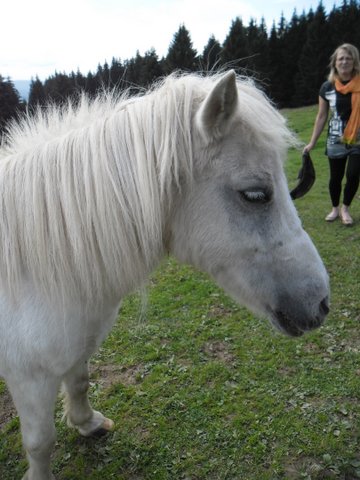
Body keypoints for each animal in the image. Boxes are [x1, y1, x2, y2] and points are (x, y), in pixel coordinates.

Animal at [0, 72, 330, 480]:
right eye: (255, 194)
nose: (321, 303)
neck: (40, 266)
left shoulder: (77, 347)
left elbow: (79, 383)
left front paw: (87, 423)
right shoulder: (27, 376)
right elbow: (40, 441)